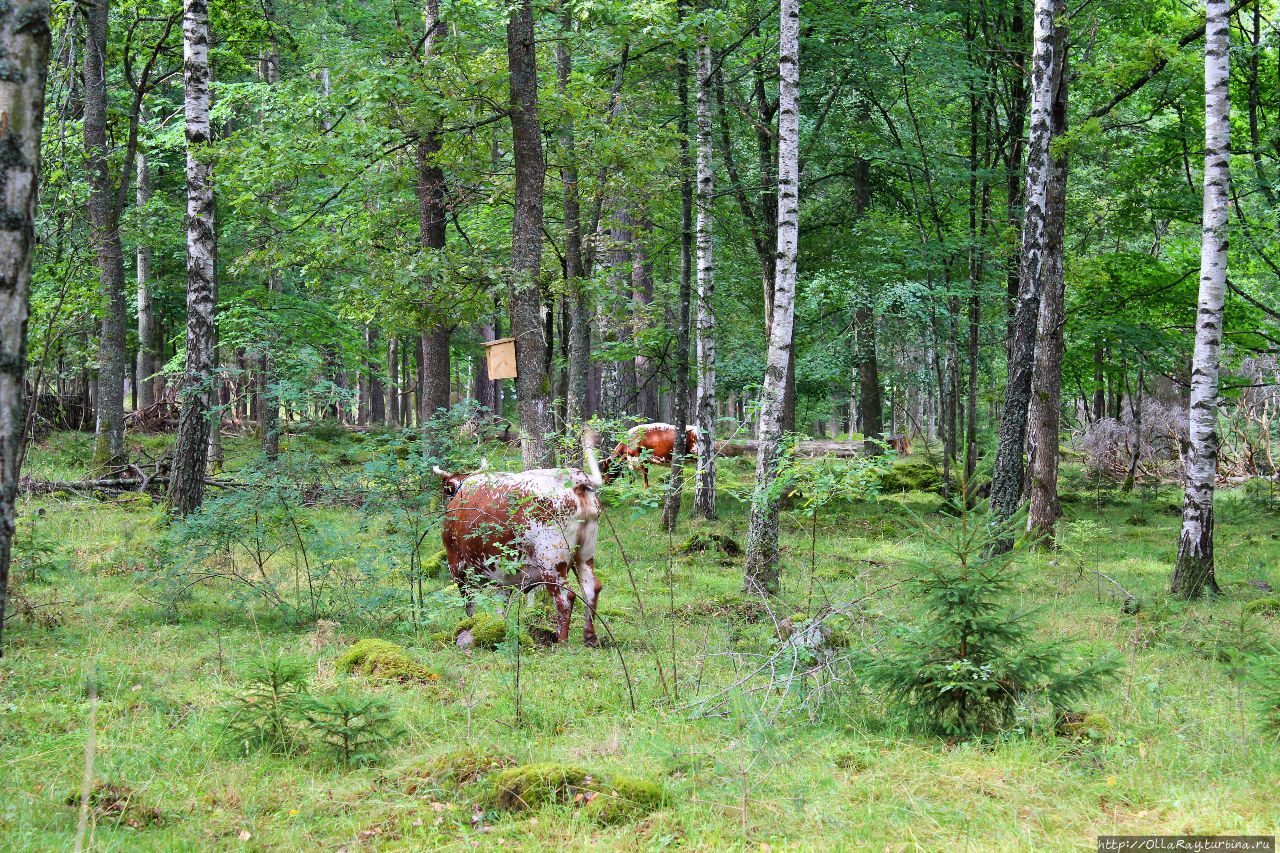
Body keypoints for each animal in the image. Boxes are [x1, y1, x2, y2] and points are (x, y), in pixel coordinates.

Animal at [435, 435, 604, 640]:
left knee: (565, 597)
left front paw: (473, 626)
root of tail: (573, 477)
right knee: (591, 588)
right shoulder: (500, 574)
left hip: (551, 561)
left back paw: (561, 640)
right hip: (584, 554)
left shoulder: (457, 564)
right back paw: (589, 637)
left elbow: (470, 604)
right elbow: (501, 608)